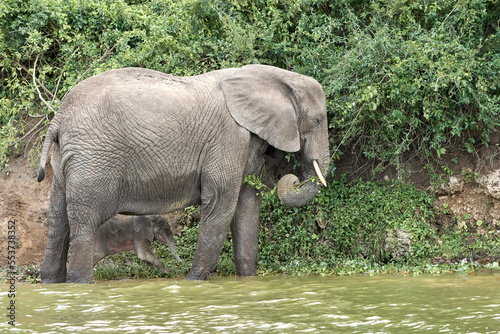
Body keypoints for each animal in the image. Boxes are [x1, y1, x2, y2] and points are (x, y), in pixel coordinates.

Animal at [38, 64, 328, 282]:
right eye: (319, 120)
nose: (292, 179)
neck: (273, 77)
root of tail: (59, 117)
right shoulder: (228, 140)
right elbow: (221, 206)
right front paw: (193, 281)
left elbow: (247, 206)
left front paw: (248, 280)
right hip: (93, 160)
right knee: (83, 222)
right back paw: (81, 283)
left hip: (68, 160)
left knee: (58, 221)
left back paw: (52, 282)